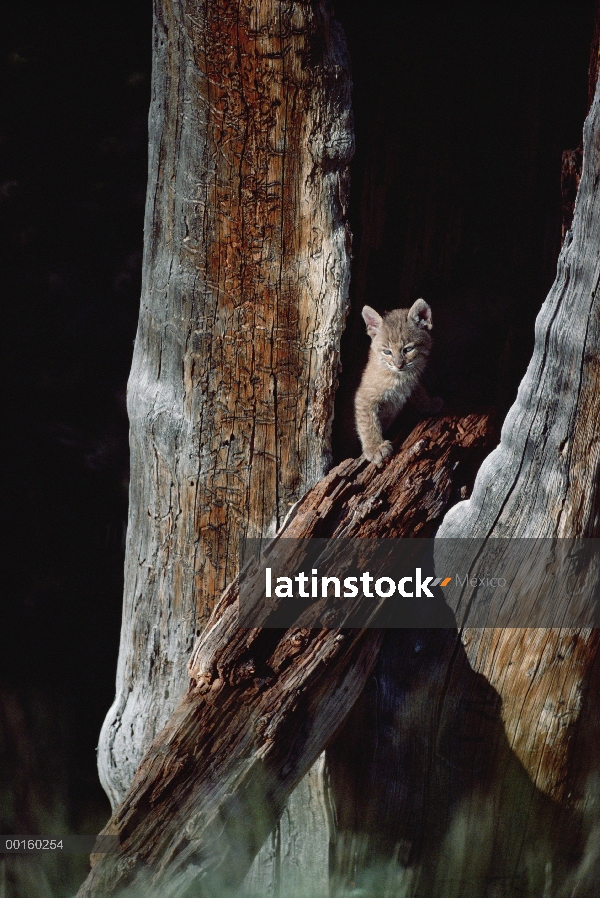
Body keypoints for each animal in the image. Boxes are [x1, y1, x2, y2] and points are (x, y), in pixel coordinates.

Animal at [354, 300, 442, 466]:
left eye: (408, 349)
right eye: (387, 352)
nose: (399, 365)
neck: (399, 377)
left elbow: (418, 391)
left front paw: (430, 403)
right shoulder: (364, 397)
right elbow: (367, 422)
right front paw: (375, 448)